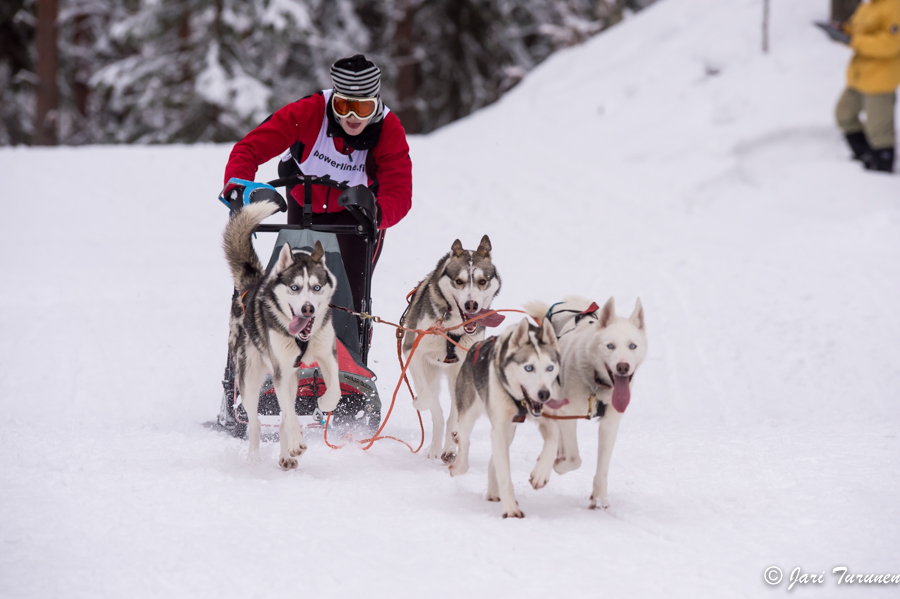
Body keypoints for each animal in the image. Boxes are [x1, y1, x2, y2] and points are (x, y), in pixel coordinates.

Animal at [223, 204, 340, 472]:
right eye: (294, 287)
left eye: (317, 287)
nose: (308, 309)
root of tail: (250, 287)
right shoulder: (281, 370)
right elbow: (287, 411)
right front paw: (297, 442)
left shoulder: (327, 356)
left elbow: (336, 390)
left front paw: (324, 404)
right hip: (250, 377)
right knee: (256, 421)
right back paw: (255, 457)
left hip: (292, 377)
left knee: (284, 416)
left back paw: (286, 455)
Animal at [400, 237, 500, 462]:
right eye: (459, 281)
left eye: (482, 281)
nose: (471, 304)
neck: (453, 327)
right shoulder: (413, 351)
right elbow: (428, 399)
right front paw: (418, 403)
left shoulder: (465, 365)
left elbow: (454, 413)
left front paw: (452, 443)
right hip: (430, 369)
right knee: (435, 406)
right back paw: (435, 447)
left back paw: (448, 447)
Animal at [446, 318, 560, 520]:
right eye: (529, 368)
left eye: (550, 368)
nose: (544, 394)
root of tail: (474, 347)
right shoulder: (498, 427)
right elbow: (505, 475)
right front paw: (511, 509)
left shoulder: (543, 417)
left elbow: (554, 438)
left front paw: (540, 474)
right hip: (470, 409)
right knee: (465, 439)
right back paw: (458, 462)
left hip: (510, 430)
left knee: (494, 460)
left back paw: (493, 490)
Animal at [528, 298, 648, 508]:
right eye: (610, 346)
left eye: (632, 346)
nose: (622, 367)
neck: (597, 385)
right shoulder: (568, 413)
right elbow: (575, 459)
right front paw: (558, 466)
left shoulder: (610, 423)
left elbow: (603, 466)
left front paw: (599, 498)